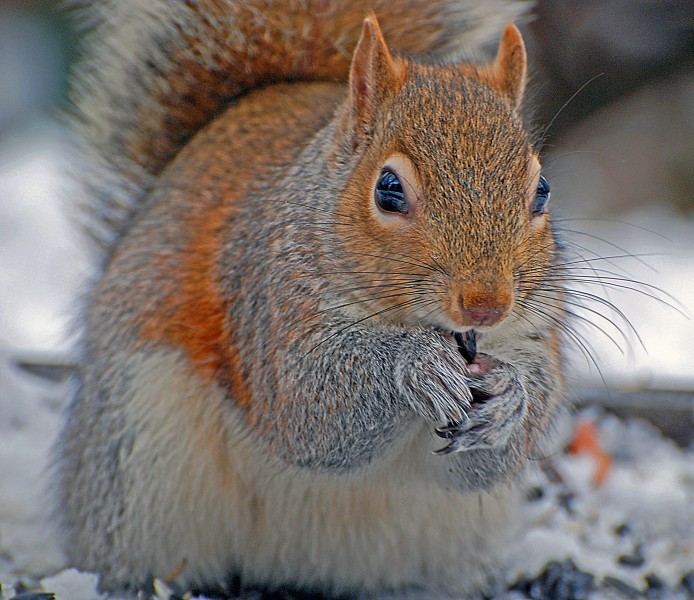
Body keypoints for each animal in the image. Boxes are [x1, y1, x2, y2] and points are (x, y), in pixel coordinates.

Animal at [54, 2, 568, 596]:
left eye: (542, 191)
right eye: (388, 189)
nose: (486, 304)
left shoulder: (534, 331)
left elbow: (487, 460)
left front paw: (510, 397)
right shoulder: (268, 304)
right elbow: (306, 408)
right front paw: (415, 365)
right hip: (132, 459)